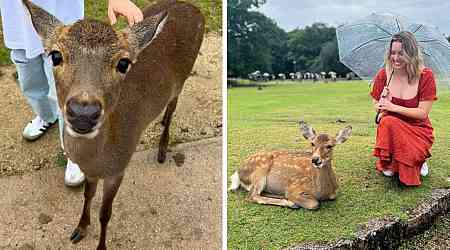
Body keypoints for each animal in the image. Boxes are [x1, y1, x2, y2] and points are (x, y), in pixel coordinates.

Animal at [22, 0, 202, 250]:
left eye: (124, 63)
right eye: (55, 56)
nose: (84, 113)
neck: (99, 158)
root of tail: (195, 9)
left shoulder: (119, 168)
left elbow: (105, 213)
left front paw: (100, 245)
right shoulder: (90, 171)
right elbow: (88, 195)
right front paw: (79, 229)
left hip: (183, 77)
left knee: (173, 105)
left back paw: (162, 149)